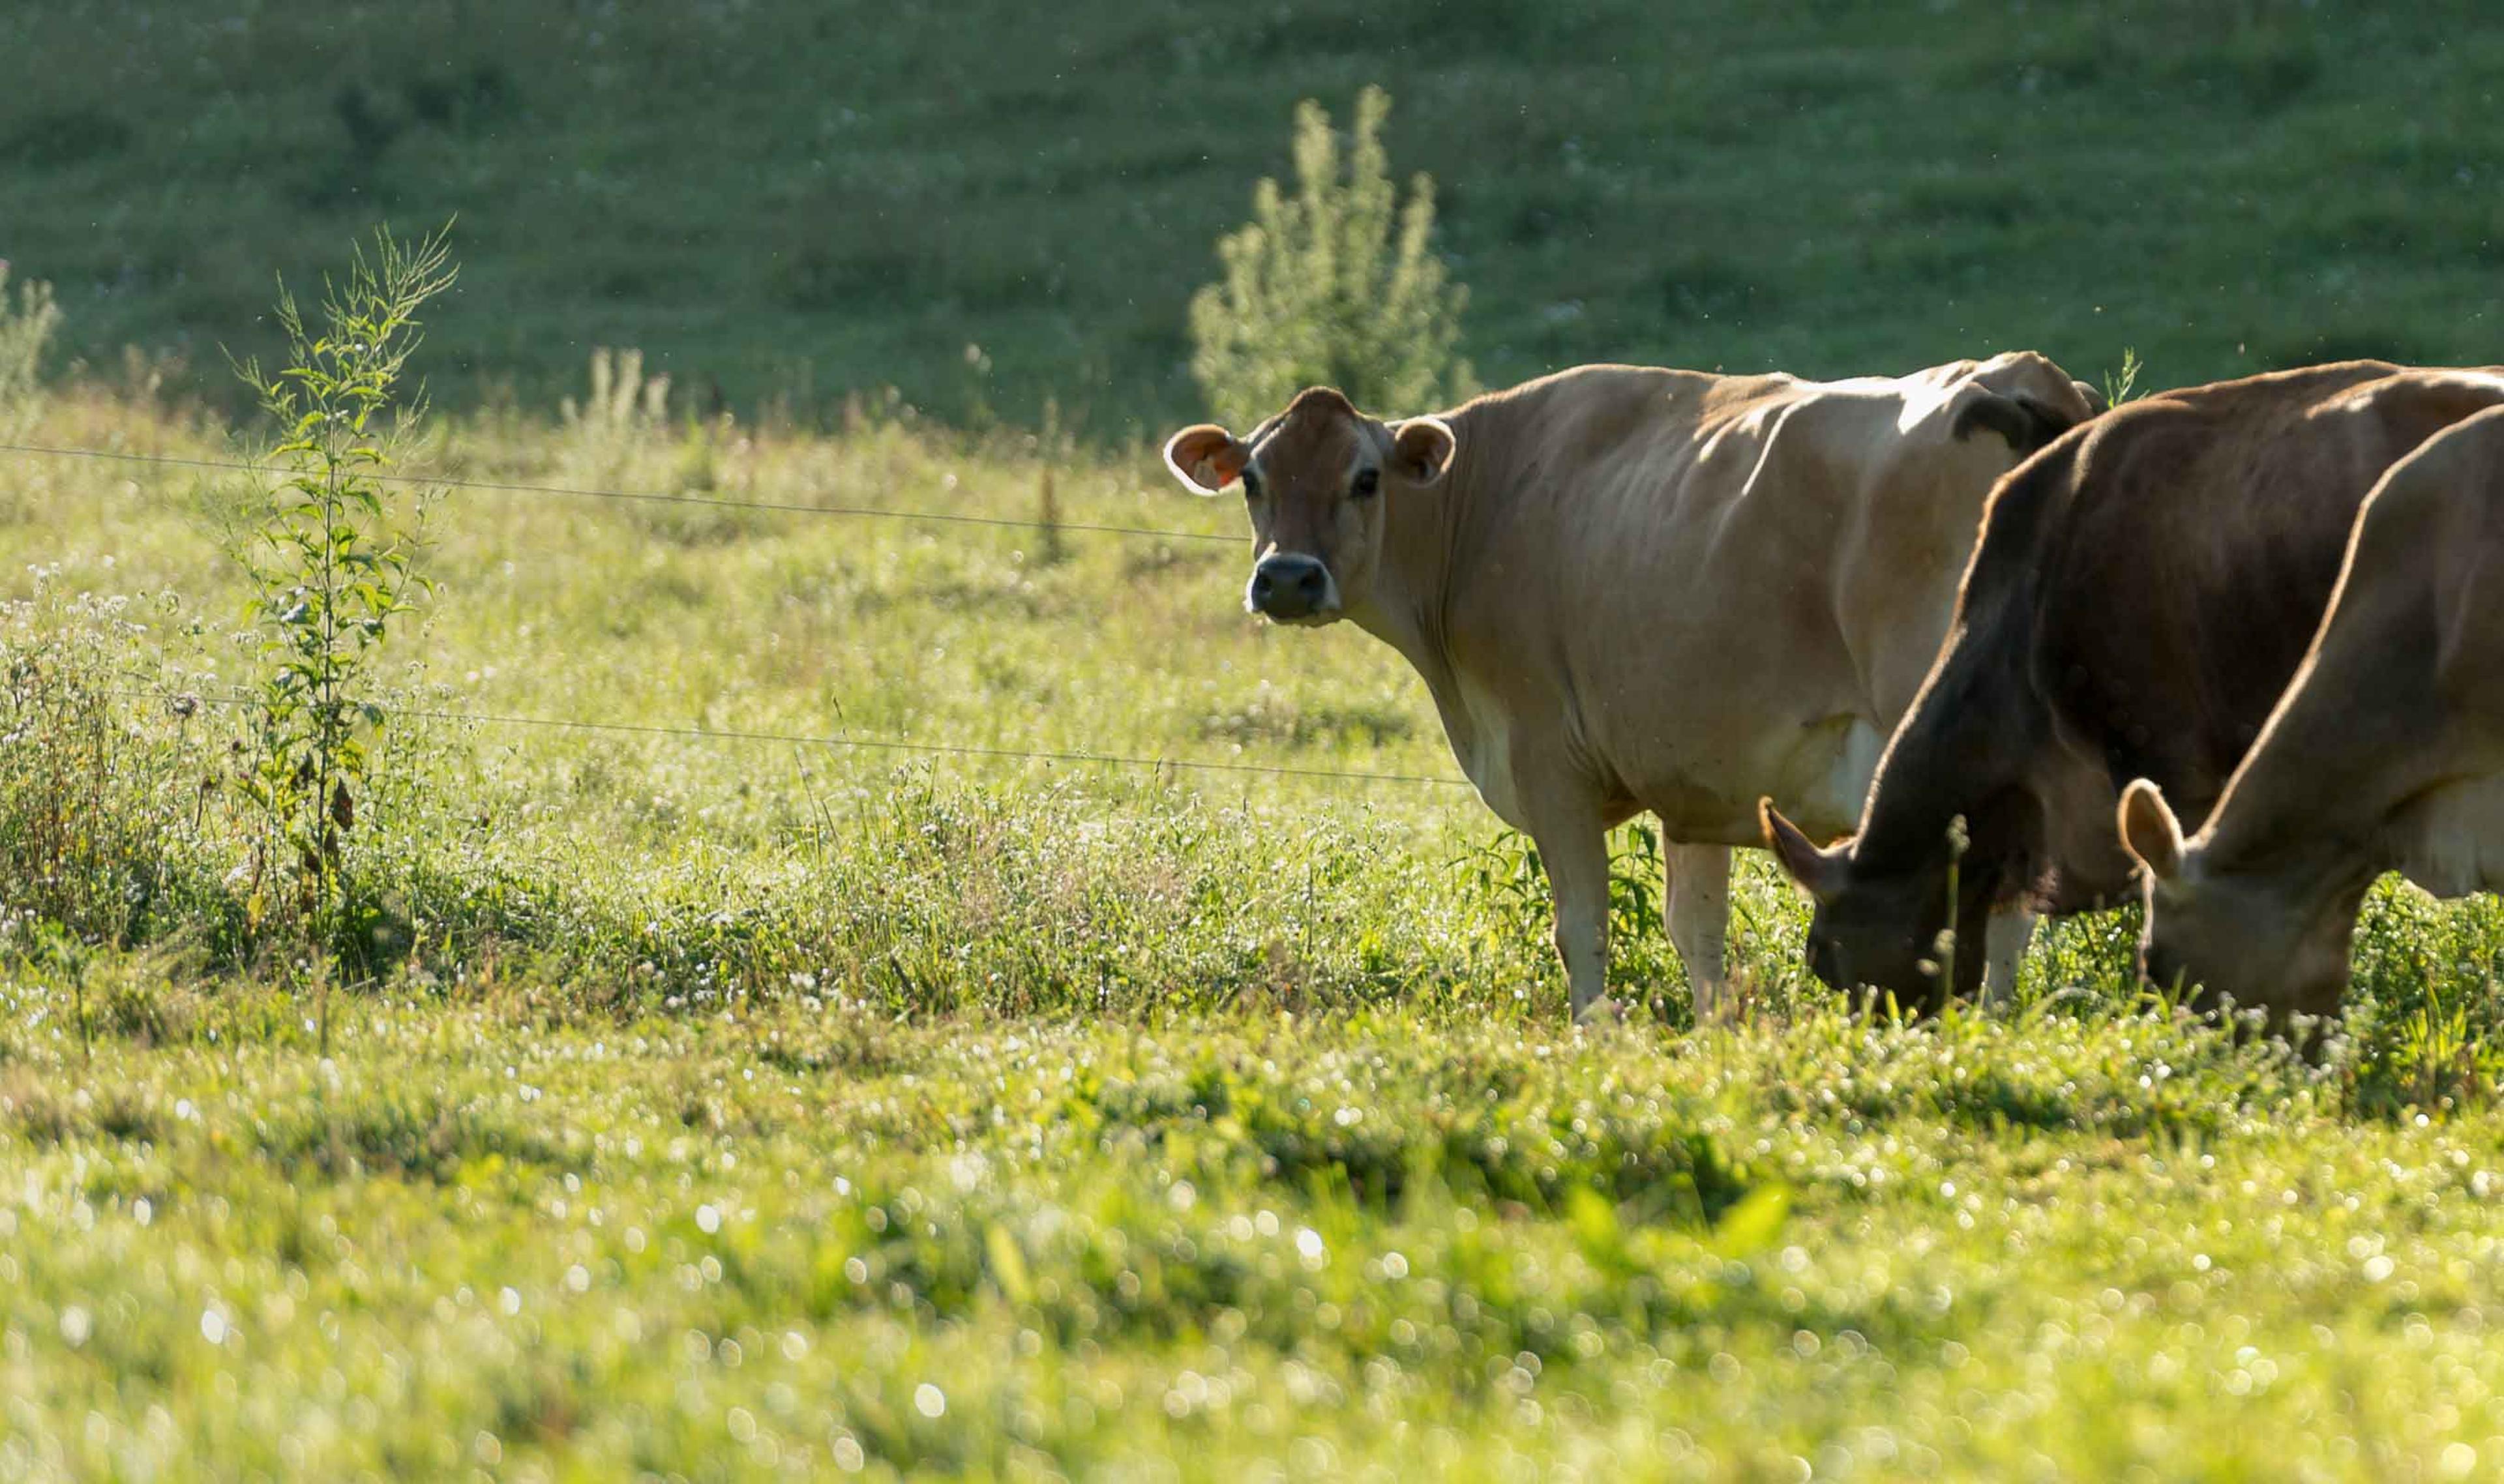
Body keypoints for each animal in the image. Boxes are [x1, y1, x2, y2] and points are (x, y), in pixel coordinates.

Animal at [1161, 353, 2103, 1020]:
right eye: (1252, 479)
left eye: (1365, 478)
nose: (1288, 578)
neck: (1486, 502)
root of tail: (2017, 374)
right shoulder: (1701, 778)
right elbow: (1699, 931)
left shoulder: (1549, 763)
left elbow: (1582, 925)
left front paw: (1594, 1034)